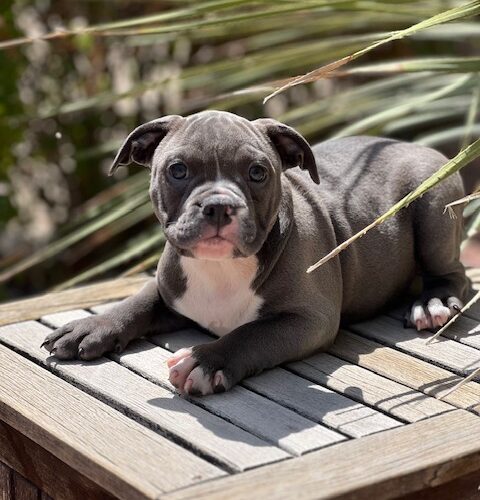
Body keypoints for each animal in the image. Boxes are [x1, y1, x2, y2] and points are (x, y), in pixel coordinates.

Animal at [42, 110, 469, 396]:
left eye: (258, 172)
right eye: (177, 170)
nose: (218, 205)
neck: (219, 268)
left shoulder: (308, 319)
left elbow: (251, 333)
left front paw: (205, 360)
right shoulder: (170, 286)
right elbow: (140, 300)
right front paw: (92, 326)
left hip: (433, 206)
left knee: (454, 273)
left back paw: (431, 304)